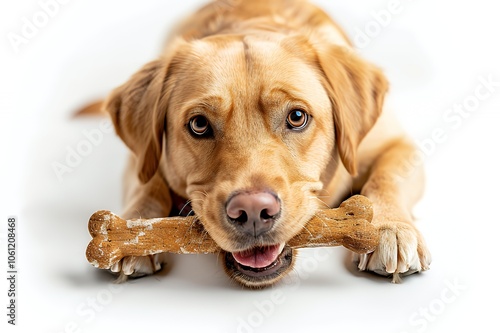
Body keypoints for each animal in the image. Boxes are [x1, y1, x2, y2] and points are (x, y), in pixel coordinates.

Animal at [86, 0, 430, 286]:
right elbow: (147, 185)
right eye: (199, 124)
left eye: (296, 117)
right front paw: (128, 234)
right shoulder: (140, 159)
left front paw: (391, 229)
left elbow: (387, 177)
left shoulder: (395, 144)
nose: (252, 211)